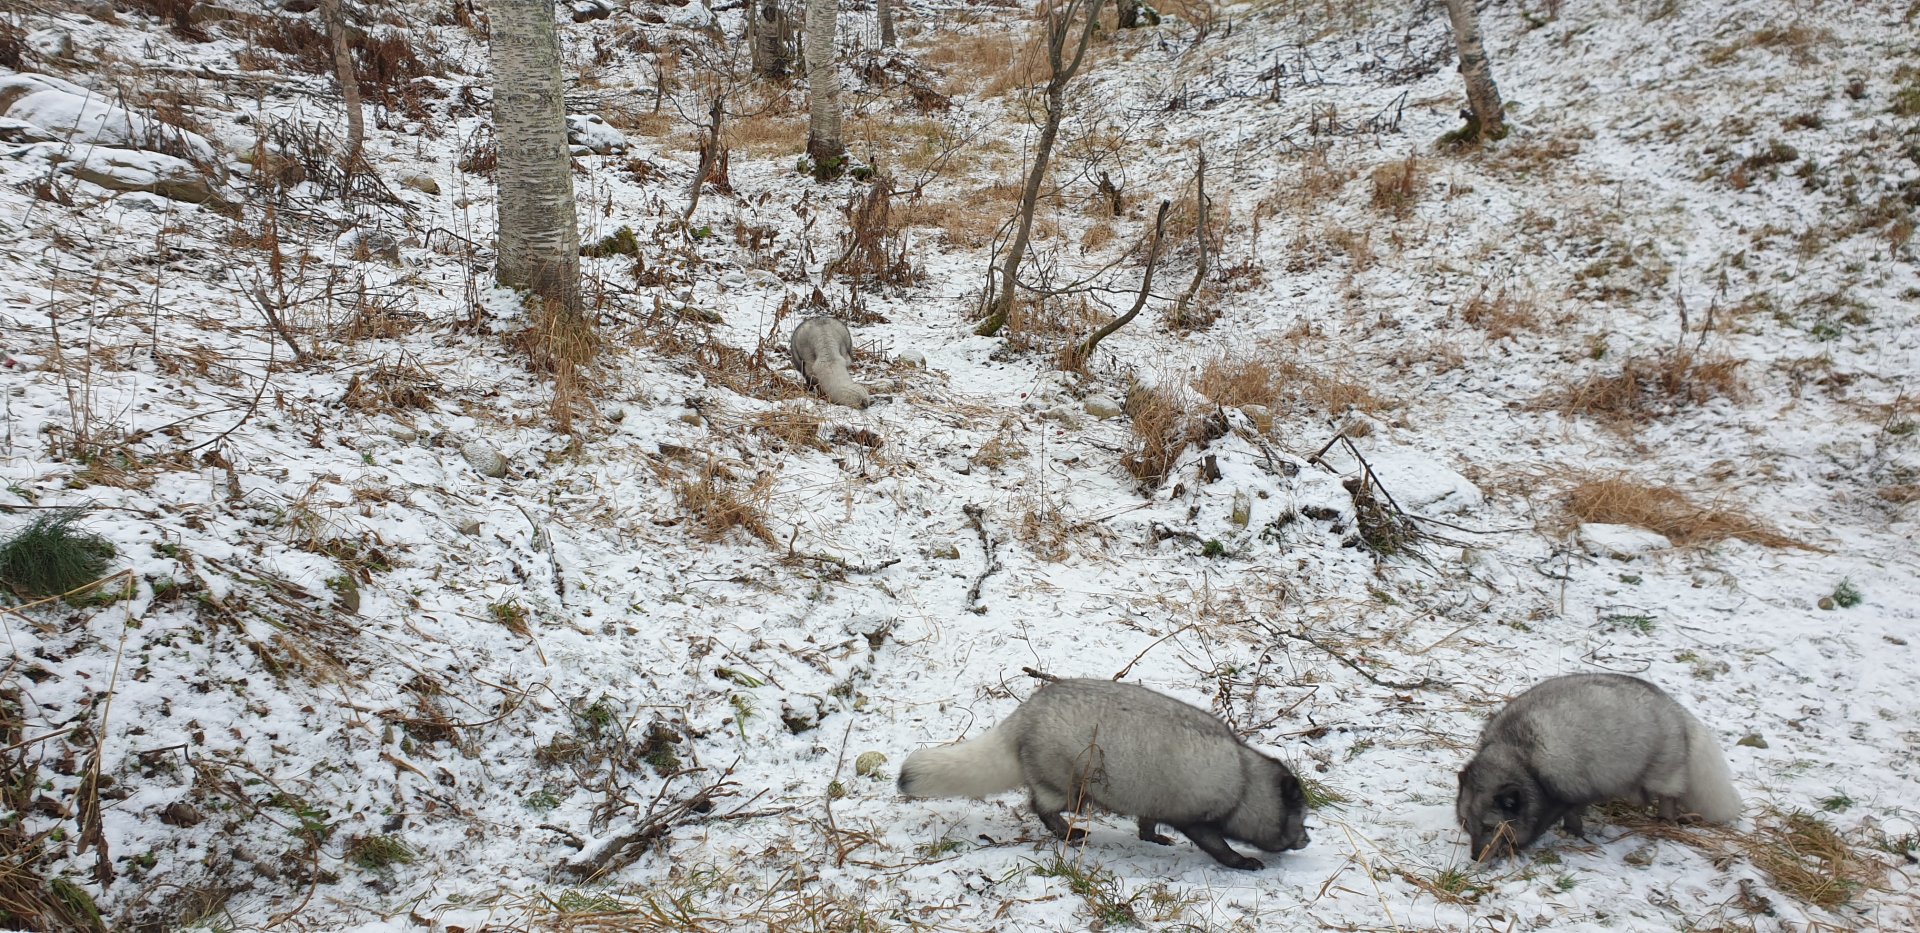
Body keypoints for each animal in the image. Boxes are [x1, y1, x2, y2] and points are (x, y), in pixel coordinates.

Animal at [897, 678, 1310, 869]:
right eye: (1301, 817)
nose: (1307, 839)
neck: (1243, 783)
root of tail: (1023, 717)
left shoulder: (1155, 805)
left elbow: (1147, 823)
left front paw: (1153, 838)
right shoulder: (1199, 820)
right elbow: (1218, 847)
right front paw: (1242, 861)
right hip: (1070, 788)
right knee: (1040, 807)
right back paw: (1070, 832)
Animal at [1456, 672, 1742, 861]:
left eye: (1490, 827)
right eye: (1467, 825)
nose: (1474, 857)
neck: (1520, 755)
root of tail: (1675, 707)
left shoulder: (1564, 789)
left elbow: (1564, 814)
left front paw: (1568, 832)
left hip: (1661, 771)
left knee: (1668, 795)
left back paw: (1664, 819)